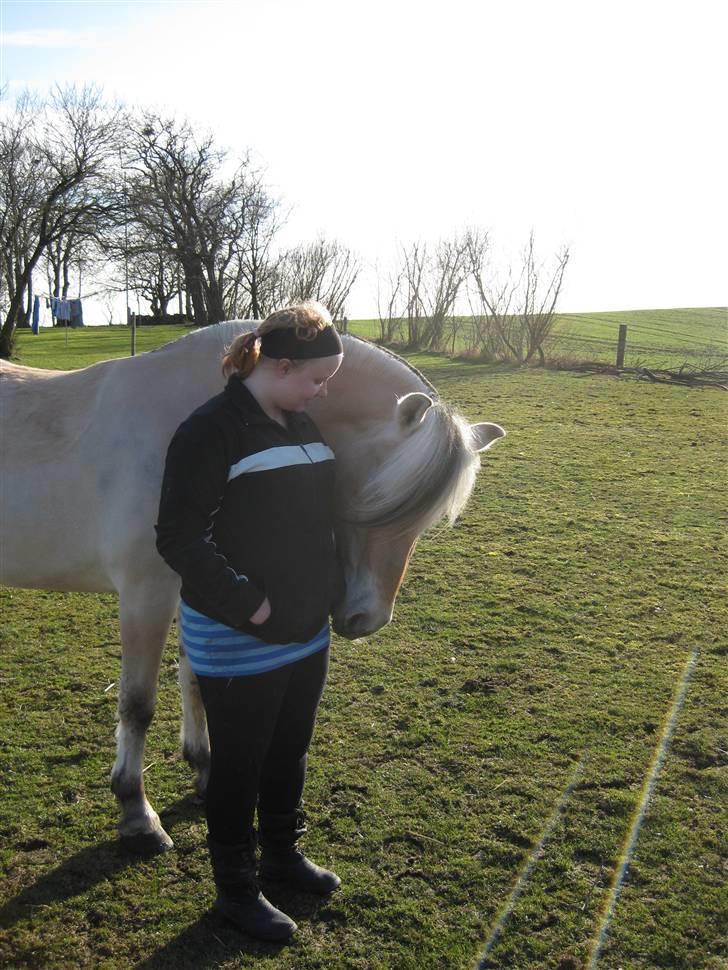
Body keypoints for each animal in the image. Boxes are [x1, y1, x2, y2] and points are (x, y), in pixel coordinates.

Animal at [0, 324, 504, 848]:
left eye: (428, 521)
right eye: (378, 497)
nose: (369, 619)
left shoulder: (201, 589)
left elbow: (196, 678)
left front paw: (203, 769)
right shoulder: (146, 594)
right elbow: (137, 704)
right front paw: (137, 810)